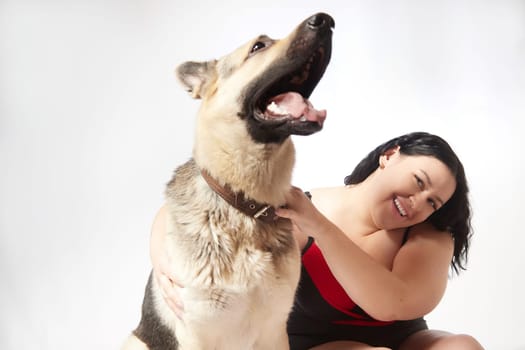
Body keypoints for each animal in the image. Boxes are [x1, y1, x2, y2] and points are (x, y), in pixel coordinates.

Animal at [122, 13, 332, 350]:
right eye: (258, 46)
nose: (325, 20)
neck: (243, 205)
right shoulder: (198, 335)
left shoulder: (275, 331)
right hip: (134, 341)